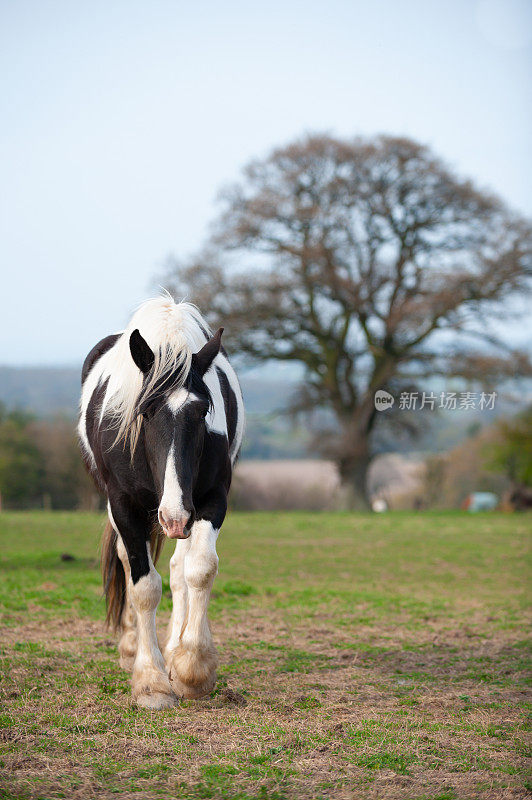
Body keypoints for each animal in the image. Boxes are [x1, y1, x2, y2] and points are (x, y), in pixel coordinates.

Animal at [78, 296, 244, 708]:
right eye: (146, 410)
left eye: (202, 411)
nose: (172, 517)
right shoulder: (125, 505)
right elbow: (144, 587)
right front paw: (151, 681)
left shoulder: (210, 500)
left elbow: (199, 570)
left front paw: (191, 668)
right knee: (127, 561)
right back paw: (131, 645)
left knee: (178, 568)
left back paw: (172, 649)